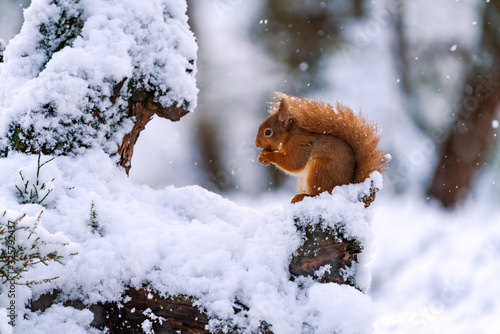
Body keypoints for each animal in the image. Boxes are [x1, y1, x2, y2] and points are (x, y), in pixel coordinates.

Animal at [256, 92, 384, 204]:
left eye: (268, 132)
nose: (256, 144)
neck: (290, 136)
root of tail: (348, 185)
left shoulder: (299, 145)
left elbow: (293, 162)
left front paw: (267, 156)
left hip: (320, 169)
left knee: (319, 193)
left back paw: (302, 197)